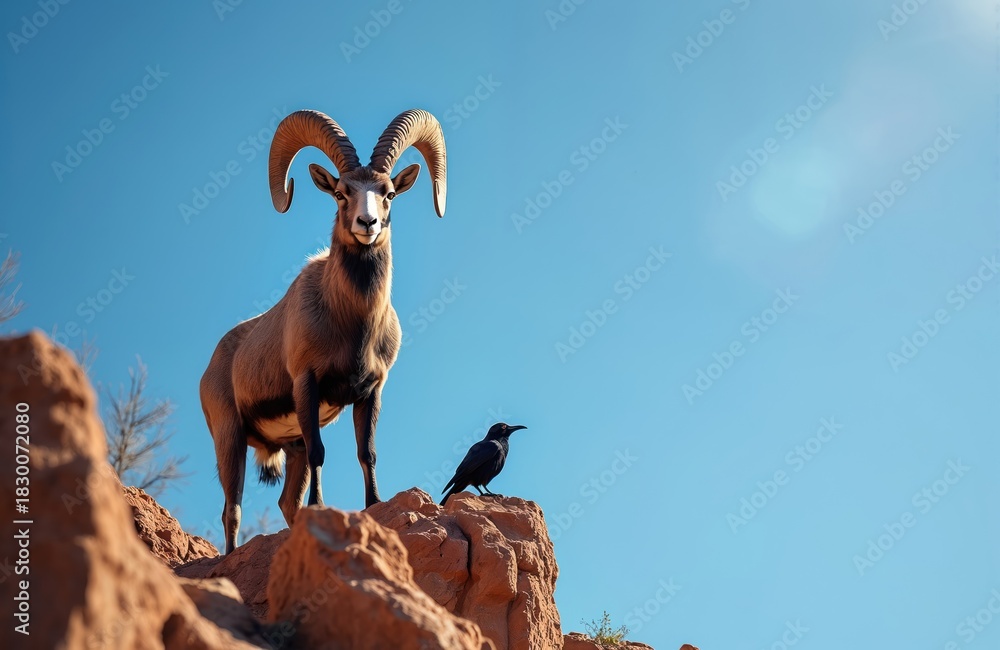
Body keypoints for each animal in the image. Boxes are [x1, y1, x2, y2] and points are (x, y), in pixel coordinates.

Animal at [200, 109, 447, 553]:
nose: (367, 223)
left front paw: (374, 504)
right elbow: (321, 452)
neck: (352, 324)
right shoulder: (307, 384)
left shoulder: (370, 392)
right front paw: (320, 507)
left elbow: (367, 453)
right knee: (233, 509)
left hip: (286, 446)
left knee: (283, 501)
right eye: (341, 193)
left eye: (388, 193)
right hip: (230, 439)